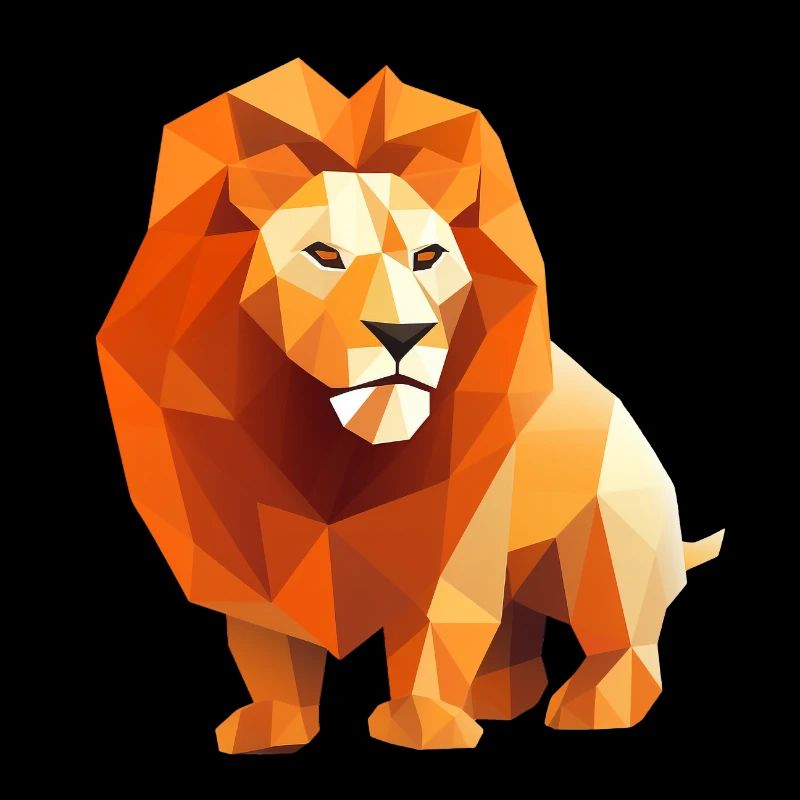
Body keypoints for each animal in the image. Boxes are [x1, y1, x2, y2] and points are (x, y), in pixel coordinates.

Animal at [97, 59, 724, 752]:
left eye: (428, 256)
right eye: (323, 254)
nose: (403, 334)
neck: (332, 449)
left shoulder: (454, 535)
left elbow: (434, 630)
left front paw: (422, 722)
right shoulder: (250, 547)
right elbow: (270, 647)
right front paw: (273, 728)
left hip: (609, 534)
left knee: (623, 632)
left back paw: (592, 706)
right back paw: (496, 701)